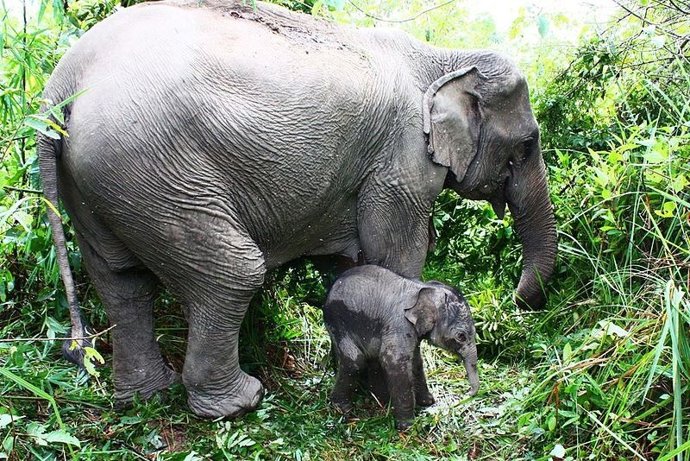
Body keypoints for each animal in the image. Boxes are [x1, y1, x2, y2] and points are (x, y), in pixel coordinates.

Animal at [323, 265, 478, 431]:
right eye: (461, 336)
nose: (467, 394)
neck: (422, 288)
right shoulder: (399, 324)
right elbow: (394, 362)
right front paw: (408, 426)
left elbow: (416, 362)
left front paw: (428, 402)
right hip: (338, 321)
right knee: (355, 361)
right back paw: (343, 409)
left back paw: (382, 401)